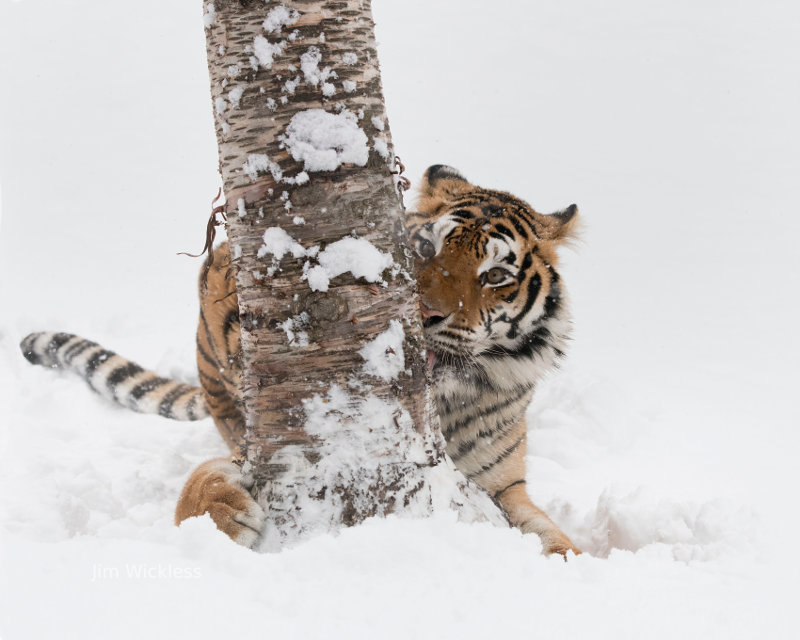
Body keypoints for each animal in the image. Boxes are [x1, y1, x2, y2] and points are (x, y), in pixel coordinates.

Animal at [20, 165, 580, 556]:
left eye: (495, 275)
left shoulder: (505, 487)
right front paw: (219, 513)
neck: (440, 400)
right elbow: (204, 478)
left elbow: (554, 539)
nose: (426, 314)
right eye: (424, 248)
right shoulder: (264, 446)